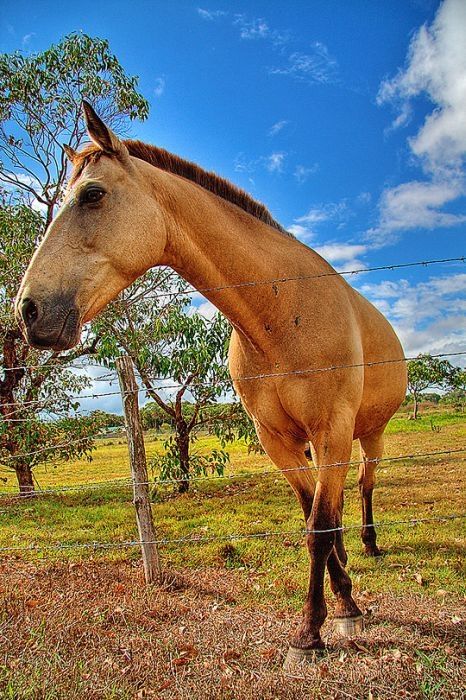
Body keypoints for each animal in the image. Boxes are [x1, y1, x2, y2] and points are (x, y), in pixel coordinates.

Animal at [16, 101, 406, 664]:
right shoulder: (279, 440)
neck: (280, 312)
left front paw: (313, 630)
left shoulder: (331, 429)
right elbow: (314, 517)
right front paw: (343, 601)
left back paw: (371, 544)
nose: (27, 311)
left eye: (92, 194)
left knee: (364, 485)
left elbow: (318, 527)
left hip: (369, 434)